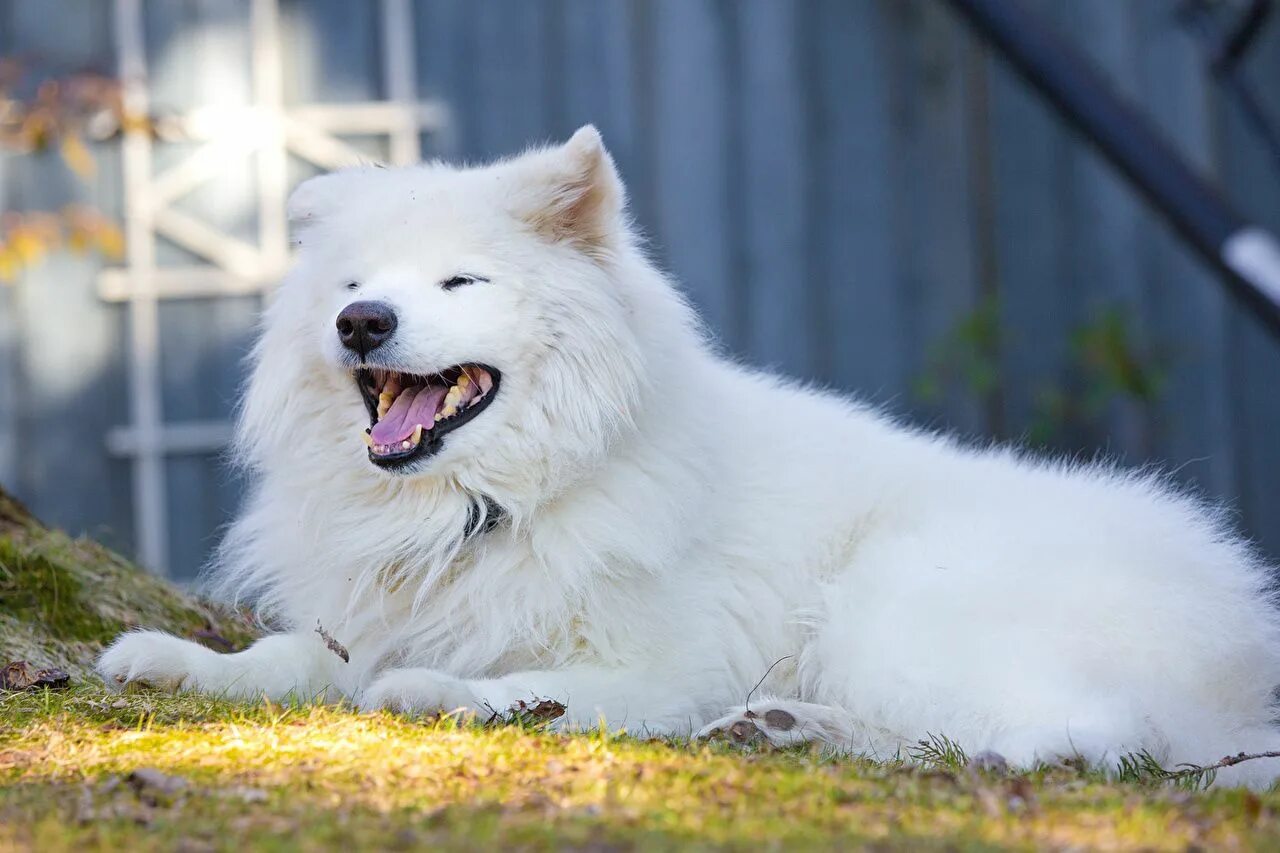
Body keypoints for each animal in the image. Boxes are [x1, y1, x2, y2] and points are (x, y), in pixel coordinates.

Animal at [99, 126, 1280, 783]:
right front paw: (173, 661)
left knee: (1113, 733)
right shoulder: (365, 616)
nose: (362, 323)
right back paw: (787, 728)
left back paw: (1014, 760)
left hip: (897, 604)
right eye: (350, 284)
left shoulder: (656, 666)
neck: (482, 503)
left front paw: (436, 691)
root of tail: (1243, 614)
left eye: (459, 282)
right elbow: (290, 658)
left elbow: (516, 684)